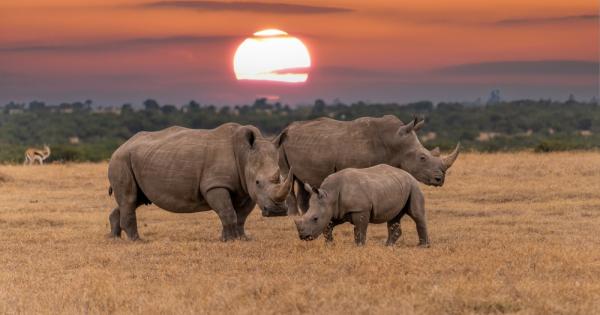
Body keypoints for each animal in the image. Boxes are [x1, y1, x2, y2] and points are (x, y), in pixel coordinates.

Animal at [294, 164, 426, 248]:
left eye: (315, 218)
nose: (303, 236)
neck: (329, 195)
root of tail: (407, 173)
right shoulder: (335, 211)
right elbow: (327, 228)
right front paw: (330, 245)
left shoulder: (360, 209)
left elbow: (359, 229)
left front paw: (359, 247)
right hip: (396, 186)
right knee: (394, 216)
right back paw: (388, 246)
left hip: (413, 185)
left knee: (416, 214)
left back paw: (422, 246)